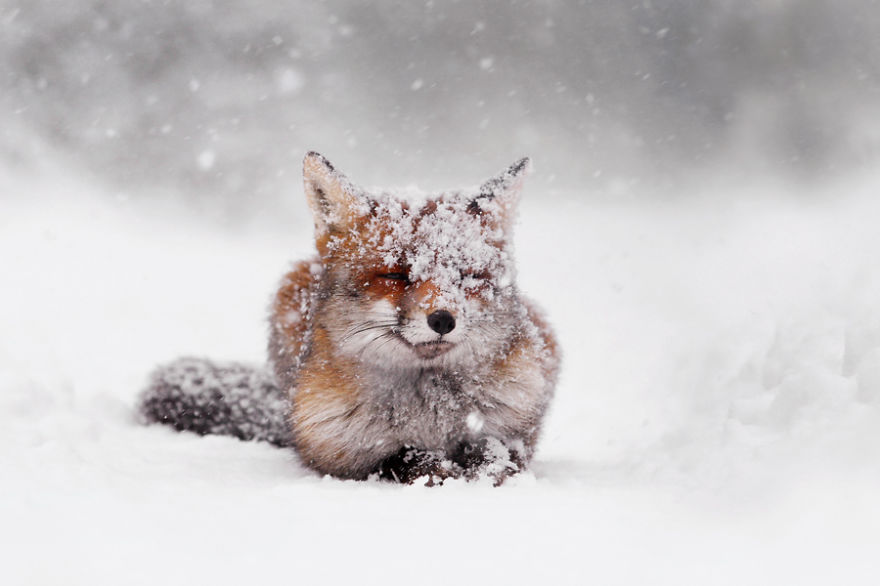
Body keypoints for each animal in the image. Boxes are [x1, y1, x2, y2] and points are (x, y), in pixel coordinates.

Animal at [140, 152, 560, 485]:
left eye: (468, 276)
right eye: (396, 275)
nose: (442, 320)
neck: (430, 410)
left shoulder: (513, 429)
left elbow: (496, 455)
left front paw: (485, 475)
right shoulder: (338, 451)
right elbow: (408, 458)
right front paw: (441, 472)